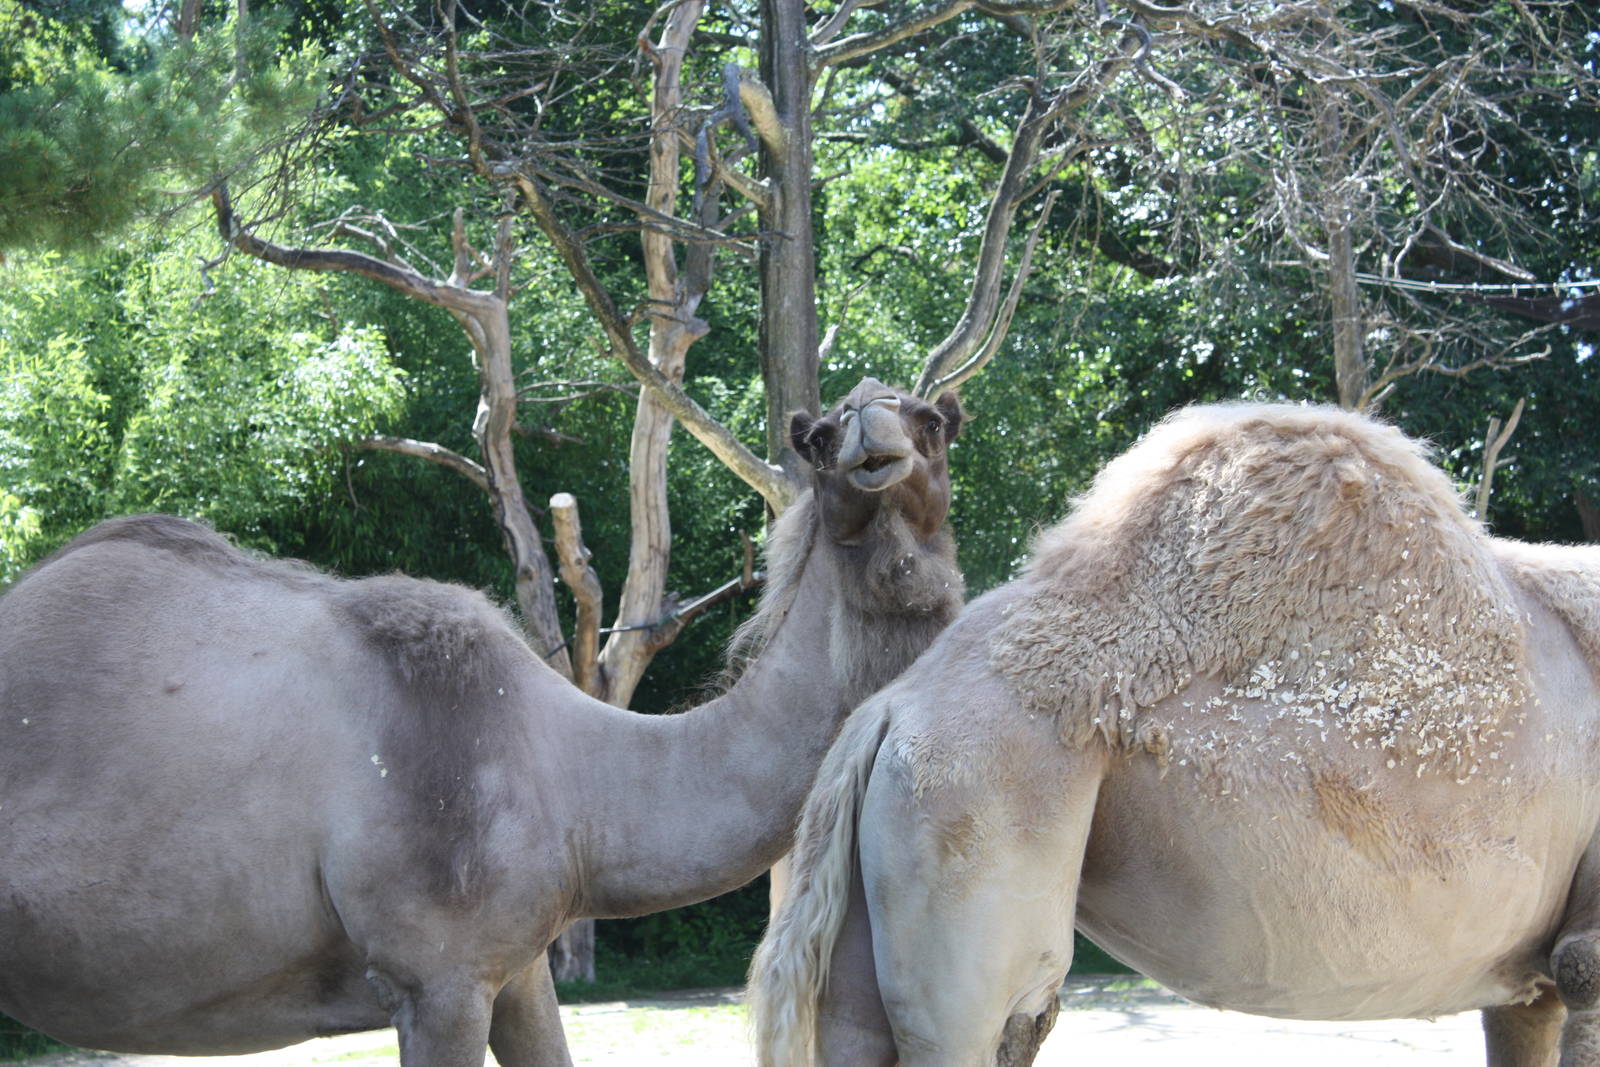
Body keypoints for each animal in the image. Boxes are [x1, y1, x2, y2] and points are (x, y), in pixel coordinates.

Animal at [0, 376, 965, 1066]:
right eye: (823, 436)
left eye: (931, 420)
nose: (872, 436)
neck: (576, 777)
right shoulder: (437, 974)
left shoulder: (517, 967)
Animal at [751, 402, 1600, 1067]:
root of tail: (888, 712)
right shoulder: (1586, 948)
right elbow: (1583, 970)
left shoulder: (1530, 985)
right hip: (967, 808)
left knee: (858, 1029)